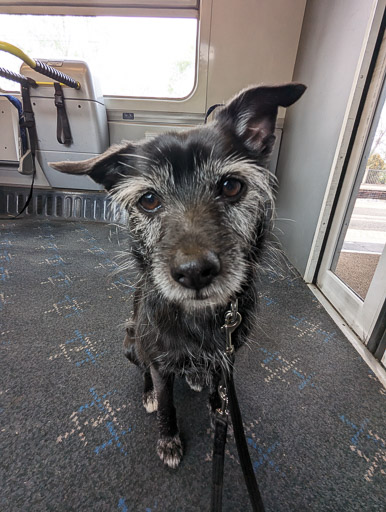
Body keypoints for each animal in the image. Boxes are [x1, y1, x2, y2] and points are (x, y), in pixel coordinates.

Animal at [50, 83, 304, 468]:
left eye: (231, 186)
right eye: (148, 199)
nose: (195, 272)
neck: (199, 318)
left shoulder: (228, 353)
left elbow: (219, 385)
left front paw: (217, 407)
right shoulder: (159, 360)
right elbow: (168, 404)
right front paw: (169, 440)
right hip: (131, 342)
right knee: (143, 371)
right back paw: (149, 394)